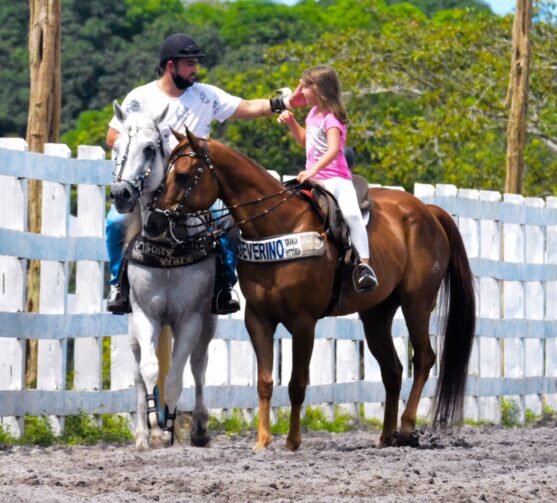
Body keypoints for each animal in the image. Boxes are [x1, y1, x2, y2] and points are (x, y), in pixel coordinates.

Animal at [109, 101, 216, 448]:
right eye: (116, 147)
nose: (121, 193)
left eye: (149, 148)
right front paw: (155, 427)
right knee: (138, 372)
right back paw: (143, 434)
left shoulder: (191, 318)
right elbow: (150, 370)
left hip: (209, 322)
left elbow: (177, 377)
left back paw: (197, 428)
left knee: (198, 366)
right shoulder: (145, 314)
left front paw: (172, 426)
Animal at [153, 130, 474, 452]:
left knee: (423, 360)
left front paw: (292, 441)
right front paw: (262, 441)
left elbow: (297, 383)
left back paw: (407, 427)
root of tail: (428, 211)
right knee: (392, 370)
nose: (157, 220)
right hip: (376, 314)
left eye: (182, 175)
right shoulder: (258, 319)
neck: (277, 226)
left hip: (416, 303)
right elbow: (265, 381)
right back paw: (386, 437)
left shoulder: (303, 321)